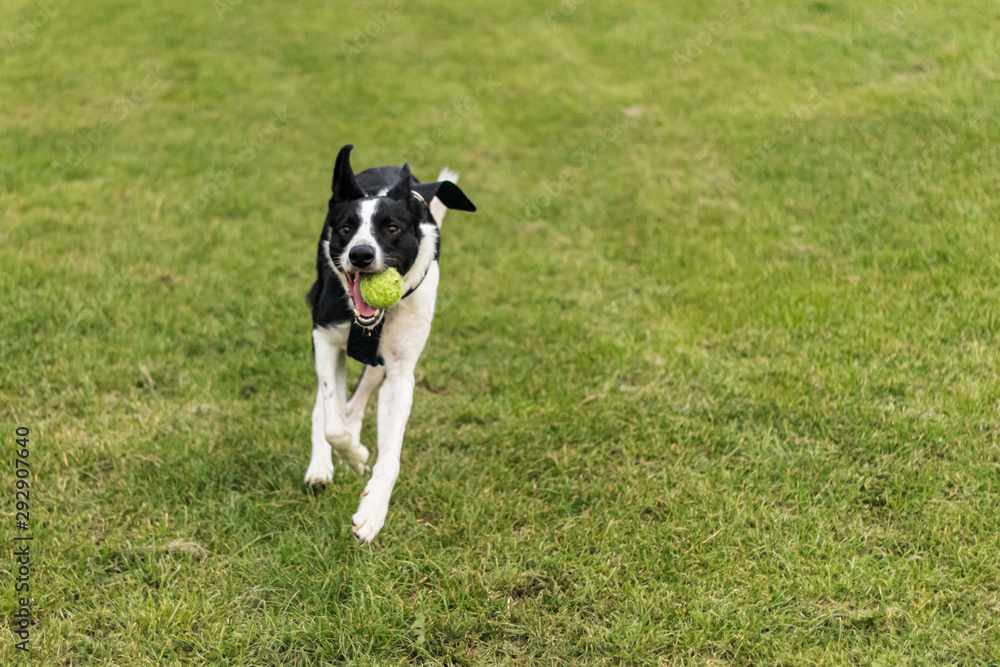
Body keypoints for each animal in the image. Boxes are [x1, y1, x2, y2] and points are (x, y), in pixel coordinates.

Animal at [304, 145, 476, 544]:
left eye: (392, 229)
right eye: (346, 229)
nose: (361, 255)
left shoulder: (401, 371)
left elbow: (390, 453)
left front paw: (372, 512)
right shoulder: (325, 336)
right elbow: (332, 421)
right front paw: (353, 453)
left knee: (361, 391)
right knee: (329, 406)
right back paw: (323, 463)